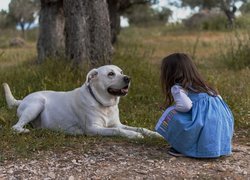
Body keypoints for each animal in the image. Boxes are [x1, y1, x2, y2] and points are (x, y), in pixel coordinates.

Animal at [2, 65, 160, 139]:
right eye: (110, 74)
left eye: (121, 72)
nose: (128, 78)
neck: (104, 104)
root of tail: (22, 100)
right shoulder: (93, 129)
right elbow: (118, 131)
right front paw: (134, 135)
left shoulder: (117, 123)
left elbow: (140, 128)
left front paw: (154, 134)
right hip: (37, 103)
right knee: (15, 127)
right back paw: (24, 130)